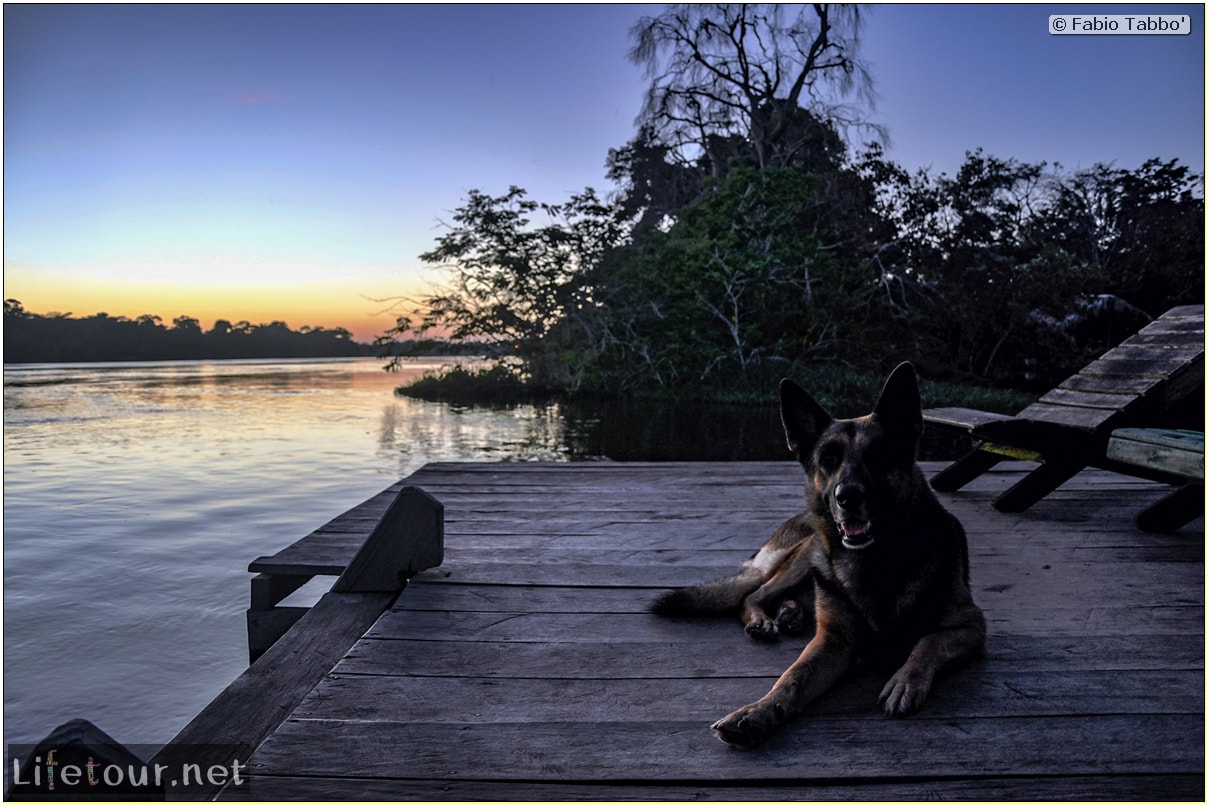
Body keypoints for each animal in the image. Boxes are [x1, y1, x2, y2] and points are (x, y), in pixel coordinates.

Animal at [652, 362, 981, 749]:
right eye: (828, 461)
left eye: (878, 456)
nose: (848, 497)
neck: (874, 564)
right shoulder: (833, 642)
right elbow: (793, 677)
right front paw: (757, 712)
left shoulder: (972, 626)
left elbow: (928, 641)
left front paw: (905, 680)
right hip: (808, 554)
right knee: (754, 593)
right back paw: (765, 618)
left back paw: (790, 613)